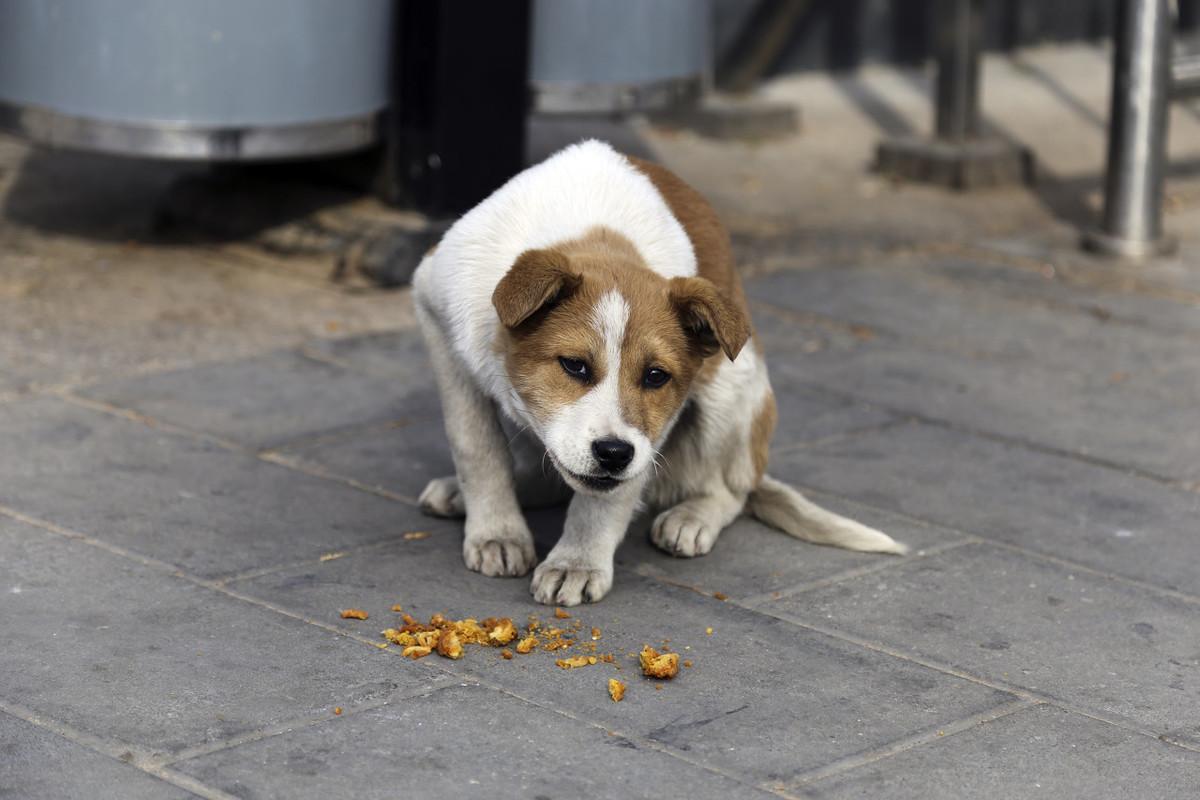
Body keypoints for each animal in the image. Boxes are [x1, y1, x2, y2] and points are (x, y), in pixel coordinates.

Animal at [410, 142, 902, 606]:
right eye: (574, 365)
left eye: (655, 377)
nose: (613, 454)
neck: (597, 228)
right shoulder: (437, 316)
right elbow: (476, 446)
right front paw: (497, 532)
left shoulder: (657, 424)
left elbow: (609, 496)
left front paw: (577, 562)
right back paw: (466, 494)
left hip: (730, 389)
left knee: (730, 489)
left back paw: (692, 518)